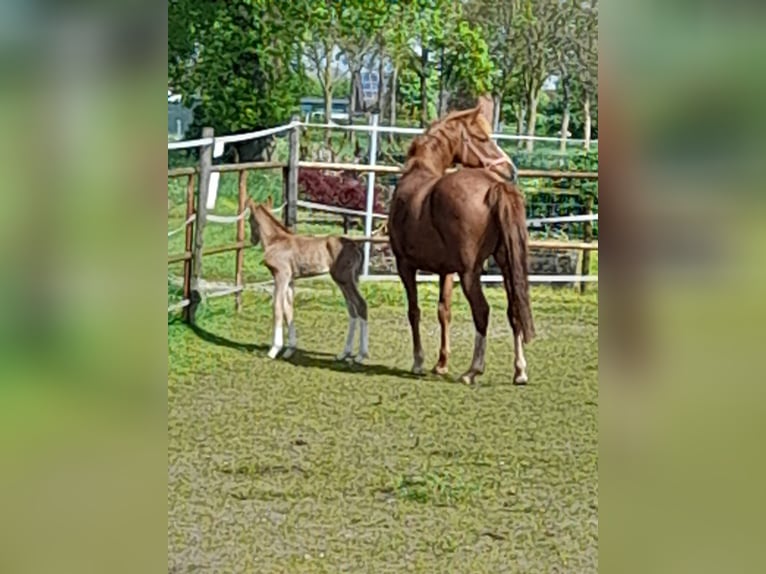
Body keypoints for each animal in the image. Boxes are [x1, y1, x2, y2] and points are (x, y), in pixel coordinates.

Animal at [244, 198, 368, 360]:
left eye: (249, 219)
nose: (252, 240)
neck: (276, 240)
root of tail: (355, 247)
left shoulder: (281, 275)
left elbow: (277, 306)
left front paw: (274, 349)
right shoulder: (290, 279)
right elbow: (288, 309)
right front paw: (290, 350)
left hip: (344, 278)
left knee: (360, 305)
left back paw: (361, 355)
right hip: (347, 280)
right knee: (352, 309)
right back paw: (344, 354)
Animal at [390, 108, 536, 388]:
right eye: (481, 138)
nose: (511, 170)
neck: (419, 172)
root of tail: (495, 185)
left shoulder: (405, 265)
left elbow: (414, 311)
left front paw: (419, 362)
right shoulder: (446, 271)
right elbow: (443, 311)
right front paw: (441, 364)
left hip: (471, 273)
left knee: (482, 311)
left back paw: (472, 371)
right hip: (506, 264)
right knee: (514, 310)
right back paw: (520, 371)